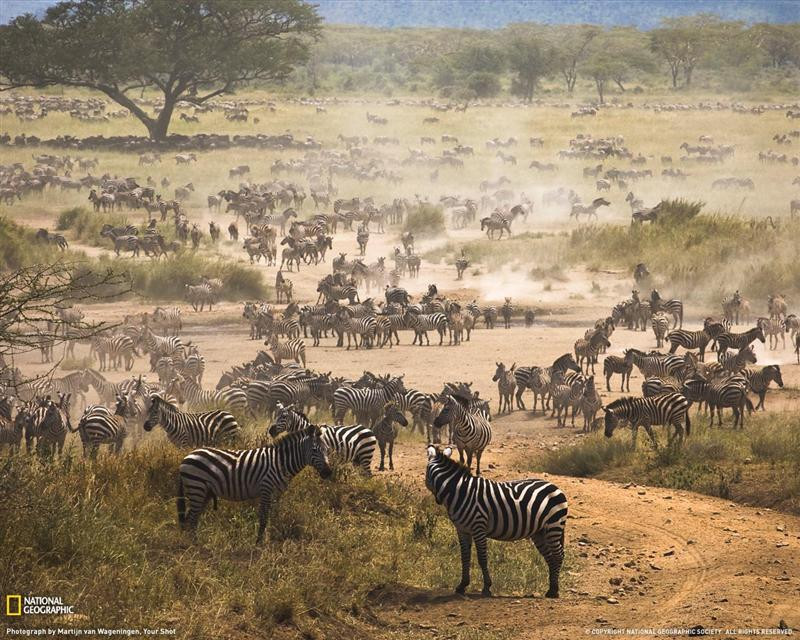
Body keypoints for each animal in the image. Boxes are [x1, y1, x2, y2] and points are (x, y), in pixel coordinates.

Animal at [178, 428, 332, 544]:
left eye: (327, 449)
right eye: (314, 450)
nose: (328, 472)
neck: (280, 462)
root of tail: (188, 456)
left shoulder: (277, 493)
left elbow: (273, 516)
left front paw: (271, 537)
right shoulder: (266, 489)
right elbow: (263, 517)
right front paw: (259, 543)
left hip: (205, 492)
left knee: (192, 517)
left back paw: (193, 543)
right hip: (197, 487)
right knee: (192, 517)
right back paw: (195, 545)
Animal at [424, 444, 568, 600]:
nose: (438, 500)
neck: (460, 492)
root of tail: (554, 486)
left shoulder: (478, 527)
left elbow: (482, 558)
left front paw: (486, 587)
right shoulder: (462, 530)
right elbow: (465, 557)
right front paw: (462, 585)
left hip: (554, 526)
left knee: (558, 555)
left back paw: (554, 591)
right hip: (539, 532)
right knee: (550, 557)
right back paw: (551, 589)